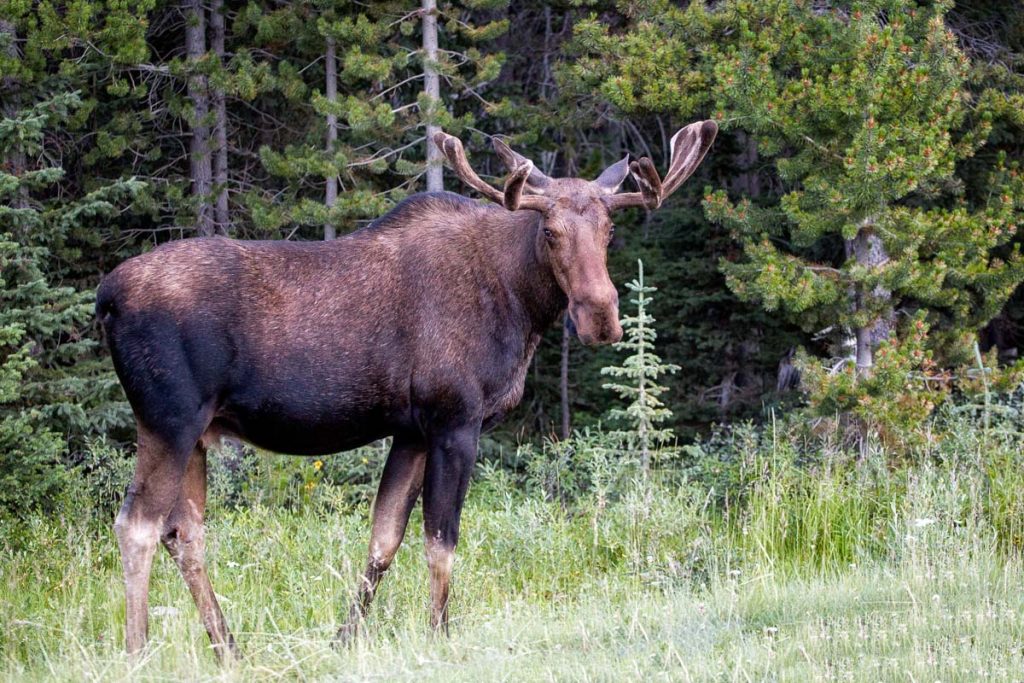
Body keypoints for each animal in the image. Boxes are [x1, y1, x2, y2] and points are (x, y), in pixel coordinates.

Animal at [96, 120, 717, 659]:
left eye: (609, 230)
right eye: (550, 232)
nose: (601, 316)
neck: (520, 306)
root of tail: (105, 298)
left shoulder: (412, 431)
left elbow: (384, 540)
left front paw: (344, 640)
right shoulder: (455, 420)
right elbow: (441, 541)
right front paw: (439, 635)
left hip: (199, 433)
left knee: (185, 534)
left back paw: (229, 649)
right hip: (169, 419)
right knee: (137, 527)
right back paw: (138, 652)